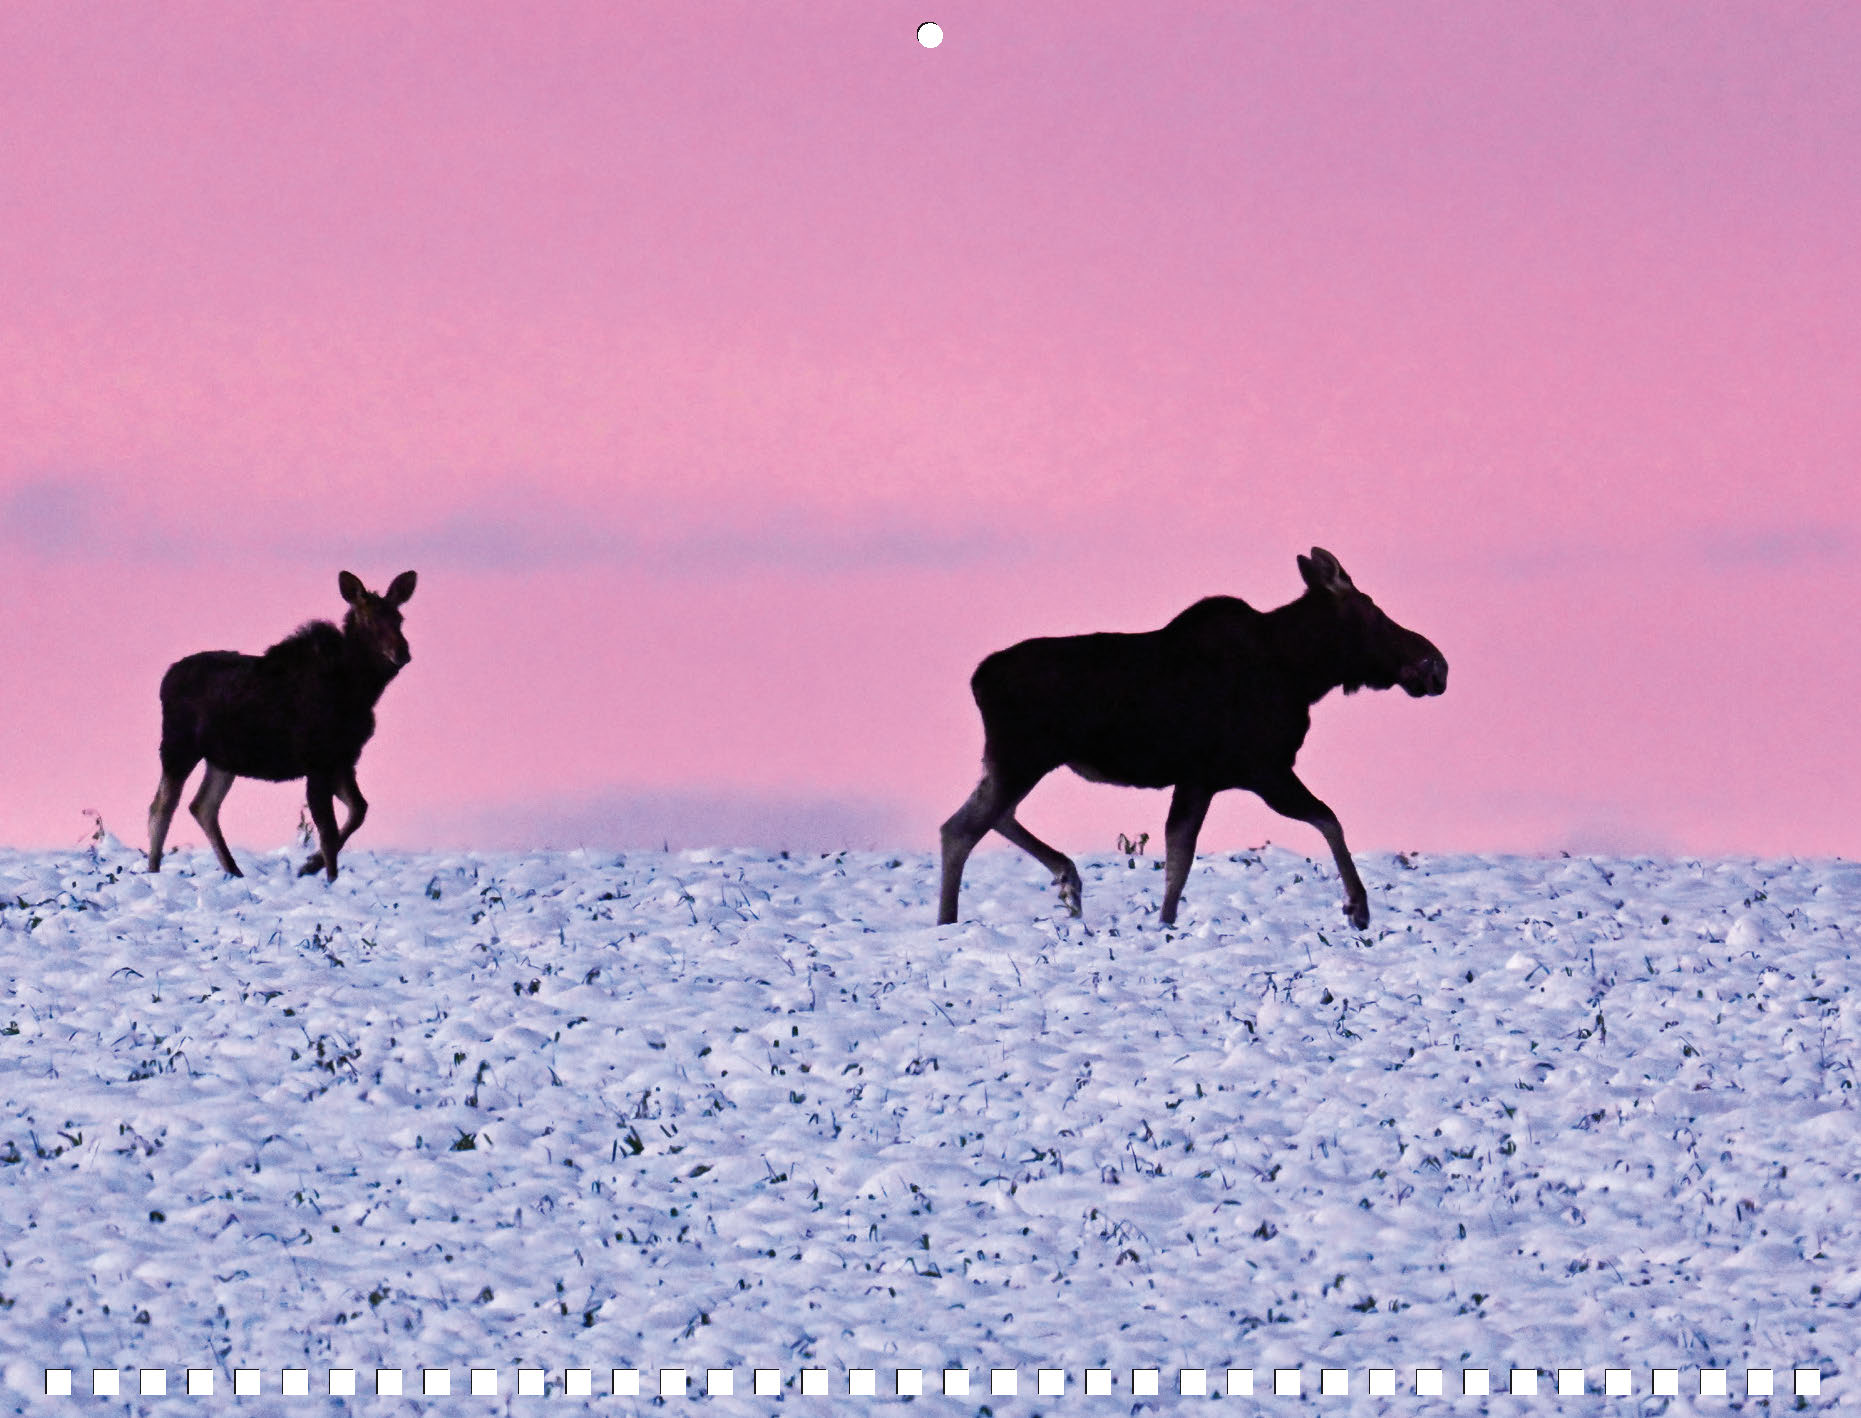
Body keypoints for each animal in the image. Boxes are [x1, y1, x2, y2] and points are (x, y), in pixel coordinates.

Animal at [147, 570, 418, 881]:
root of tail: (165, 679)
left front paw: (309, 865)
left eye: (400, 619)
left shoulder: (343, 759)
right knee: (161, 806)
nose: (402, 652)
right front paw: (326, 876)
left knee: (202, 806)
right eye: (370, 621)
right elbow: (328, 831)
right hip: (178, 746)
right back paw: (153, 870)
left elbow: (358, 810)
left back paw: (234, 871)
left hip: (222, 759)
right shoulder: (318, 761)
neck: (359, 692)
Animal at [938, 548, 1447, 930]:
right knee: (963, 827)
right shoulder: (1265, 769)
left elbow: (1178, 858)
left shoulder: (1200, 779)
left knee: (991, 816)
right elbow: (1330, 820)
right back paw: (951, 919)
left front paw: (1164, 923)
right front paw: (1358, 908)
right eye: (1374, 611)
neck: (1304, 673)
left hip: (1016, 759)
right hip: (1022, 756)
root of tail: (978, 679)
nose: (1435, 664)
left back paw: (1066, 879)